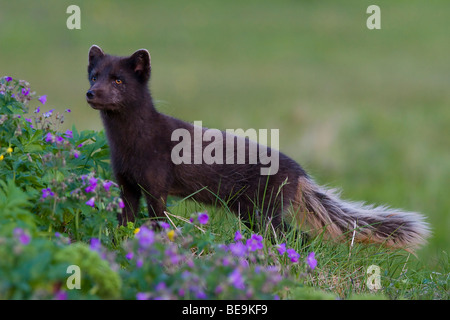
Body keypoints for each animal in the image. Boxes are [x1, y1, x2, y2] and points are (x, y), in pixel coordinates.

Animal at [87, 45, 428, 250]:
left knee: (292, 235)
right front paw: (116, 243)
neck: (129, 145)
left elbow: (158, 220)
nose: (91, 93)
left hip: (263, 209)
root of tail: (300, 174)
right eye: (94, 75)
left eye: (118, 80)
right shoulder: (125, 182)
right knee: (296, 235)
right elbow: (126, 219)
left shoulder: (156, 182)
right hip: (249, 211)